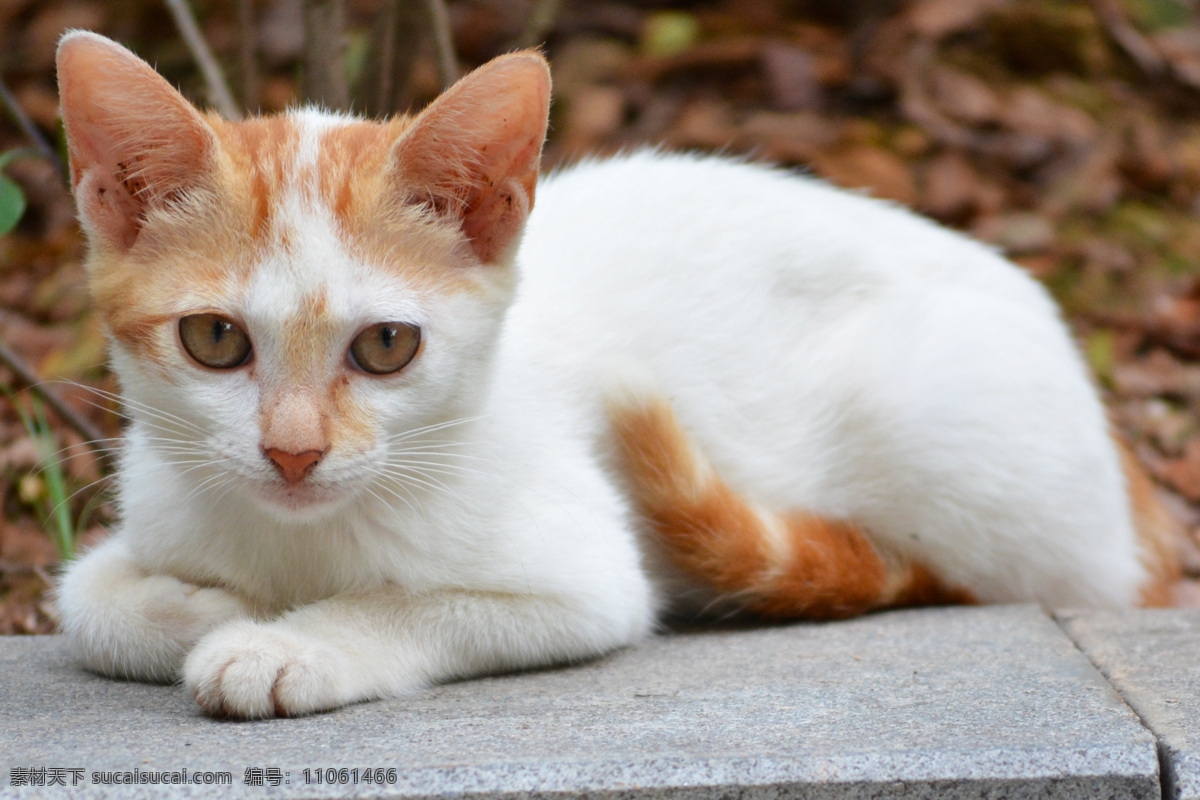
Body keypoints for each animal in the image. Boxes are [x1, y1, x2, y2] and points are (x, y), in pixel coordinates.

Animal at [54, 29, 1180, 719]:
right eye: (214, 339)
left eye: (386, 347)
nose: (292, 453)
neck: (300, 540)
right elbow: (81, 600)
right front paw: (205, 609)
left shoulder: (589, 575)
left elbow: (417, 604)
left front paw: (284, 643)